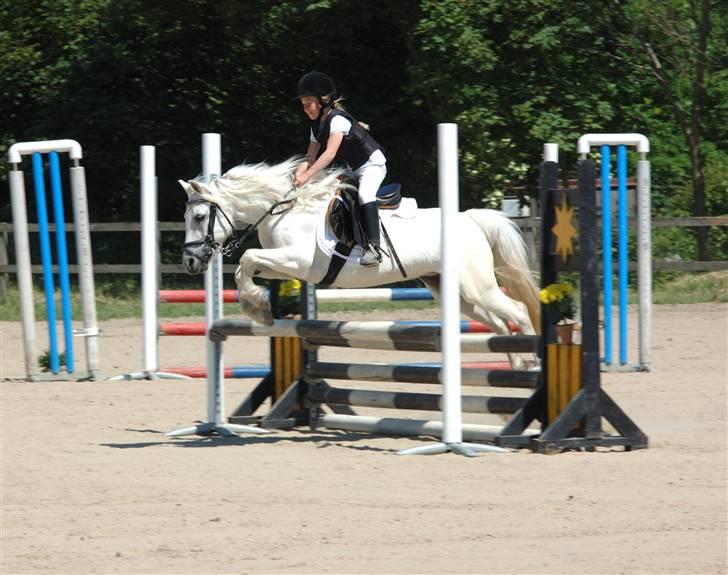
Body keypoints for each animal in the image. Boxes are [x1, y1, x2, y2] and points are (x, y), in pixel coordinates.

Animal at [179, 155, 536, 366]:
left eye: (199, 216)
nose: (191, 262)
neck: (283, 209)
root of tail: (471, 219)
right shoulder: (282, 263)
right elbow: (247, 267)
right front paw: (259, 307)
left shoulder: (296, 261)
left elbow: (248, 258)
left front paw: (260, 310)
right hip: (456, 293)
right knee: (499, 325)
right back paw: (517, 365)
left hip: (477, 286)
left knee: (518, 311)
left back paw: (533, 363)